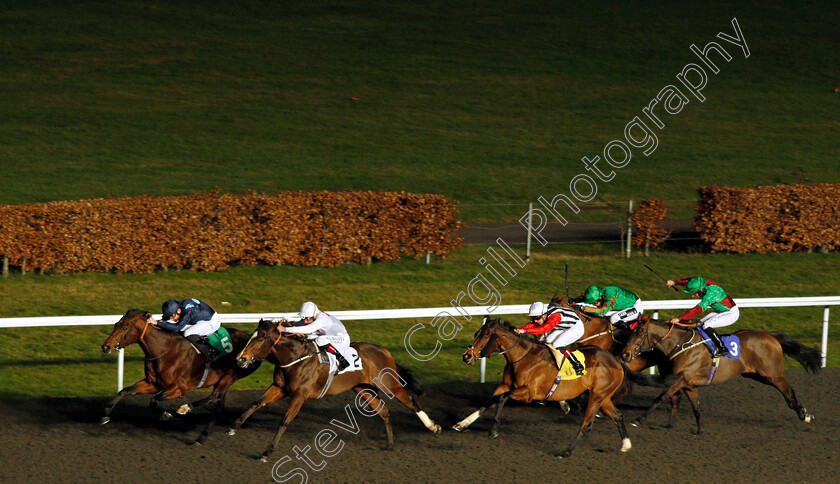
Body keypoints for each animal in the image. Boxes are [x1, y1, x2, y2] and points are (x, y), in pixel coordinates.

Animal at [101, 310, 260, 442]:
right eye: (116, 324)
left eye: (125, 327)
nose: (106, 347)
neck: (164, 350)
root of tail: (248, 338)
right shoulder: (153, 383)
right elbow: (124, 391)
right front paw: (106, 414)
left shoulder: (179, 388)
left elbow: (154, 400)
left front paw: (165, 415)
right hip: (222, 380)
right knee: (218, 406)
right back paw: (201, 437)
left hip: (230, 376)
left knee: (215, 396)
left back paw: (186, 408)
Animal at [226, 318, 442, 462]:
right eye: (251, 336)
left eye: (260, 339)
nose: (240, 359)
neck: (295, 358)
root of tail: (385, 351)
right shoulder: (280, 388)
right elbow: (256, 403)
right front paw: (234, 426)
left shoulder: (299, 395)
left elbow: (284, 422)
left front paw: (267, 452)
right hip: (363, 389)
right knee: (384, 411)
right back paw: (389, 444)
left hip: (390, 385)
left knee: (412, 403)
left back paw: (433, 427)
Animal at [452, 318, 668, 458]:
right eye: (476, 333)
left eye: (485, 336)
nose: (466, 356)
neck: (522, 357)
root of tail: (616, 360)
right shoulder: (505, 385)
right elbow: (490, 401)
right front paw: (462, 424)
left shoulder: (528, 393)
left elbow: (502, 399)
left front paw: (493, 430)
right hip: (604, 397)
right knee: (618, 416)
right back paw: (625, 444)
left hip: (597, 396)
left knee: (586, 425)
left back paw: (566, 451)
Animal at [616, 320, 820, 432]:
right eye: (631, 332)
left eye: (639, 333)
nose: (624, 354)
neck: (680, 345)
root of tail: (771, 336)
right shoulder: (688, 383)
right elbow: (695, 406)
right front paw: (698, 430)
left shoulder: (680, 379)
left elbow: (660, 398)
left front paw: (638, 419)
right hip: (755, 375)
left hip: (773, 375)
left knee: (788, 391)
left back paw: (804, 415)